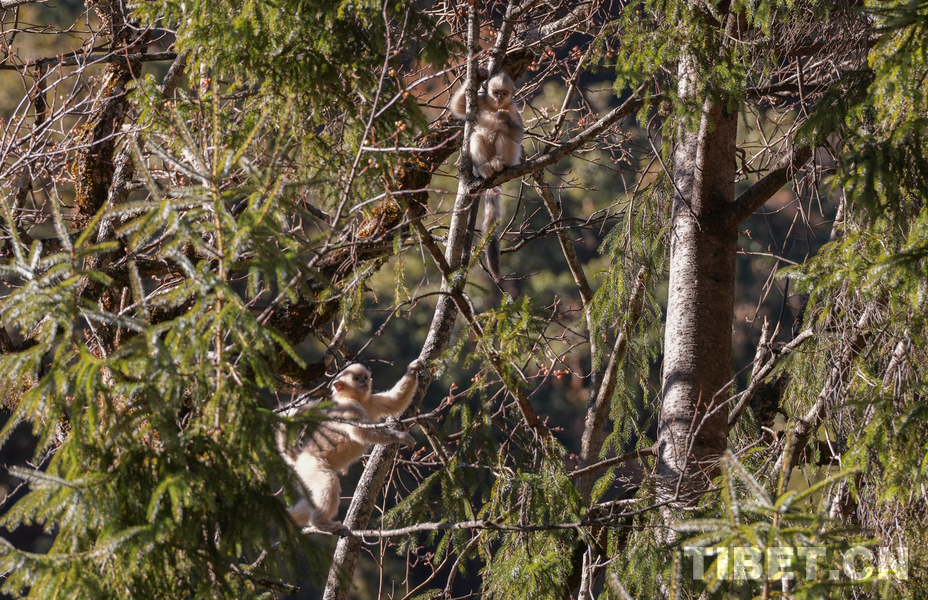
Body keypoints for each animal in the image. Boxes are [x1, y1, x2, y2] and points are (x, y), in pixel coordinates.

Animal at [277, 360, 423, 531]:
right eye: (356, 378)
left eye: (365, 377)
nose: (364, 382)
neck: (356, 399)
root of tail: (299, 456)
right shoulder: (350, 407)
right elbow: (360, 432)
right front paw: (401, 436)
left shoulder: (371, 401)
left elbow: (395, 401)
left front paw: (412, 370)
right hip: (309, 465)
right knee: (329, 482)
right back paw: (321, 523)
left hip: (303, 476)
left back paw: (288, 519)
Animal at [450, 70, 524, 282]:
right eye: (495, 92)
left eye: (504, 94)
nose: (499, 99)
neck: (494, 106)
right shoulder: (481, 100)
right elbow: (459, 106)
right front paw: (480, 74)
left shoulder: (513, 109)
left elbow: (518, 134)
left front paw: (503, 118)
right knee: (477, 135)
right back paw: (484, 168)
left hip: (512, 157)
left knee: (503, 135)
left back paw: (499, 163)